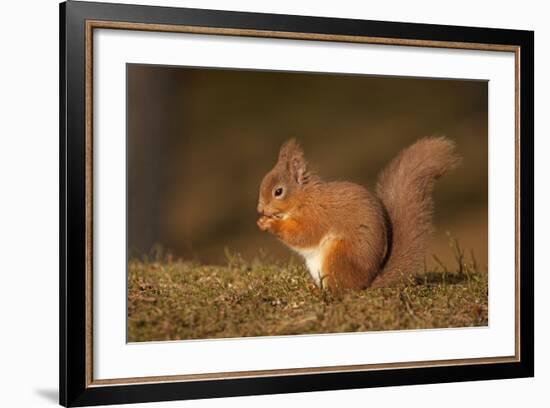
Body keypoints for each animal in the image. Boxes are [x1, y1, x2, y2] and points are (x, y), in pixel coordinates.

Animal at [258, 139, 462, 292]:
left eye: (278, 191)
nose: (260, 209)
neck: (305, 198)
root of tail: (366, 283)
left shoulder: (318, 215)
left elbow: (304, 235)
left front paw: (270, 224)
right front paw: (262, 221)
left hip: (338, 255)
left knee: (342, 290)